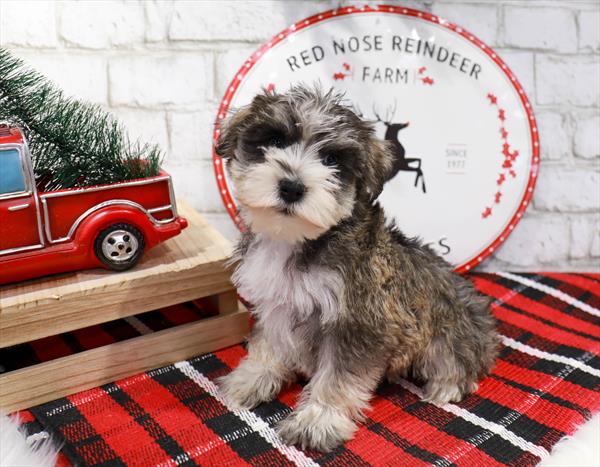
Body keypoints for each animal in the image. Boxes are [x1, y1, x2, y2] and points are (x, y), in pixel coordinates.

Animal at [214, 86, 496, 452]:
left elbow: (337, 377)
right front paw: (251, 379)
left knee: (458, 363)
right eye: (274, 140)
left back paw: (446, 386)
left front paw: (317, 420)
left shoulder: (358, 324)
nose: (291, 187)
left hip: (447, 335)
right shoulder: (275, 304)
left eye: (332, 161)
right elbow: (268, 345)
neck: (298, 240)